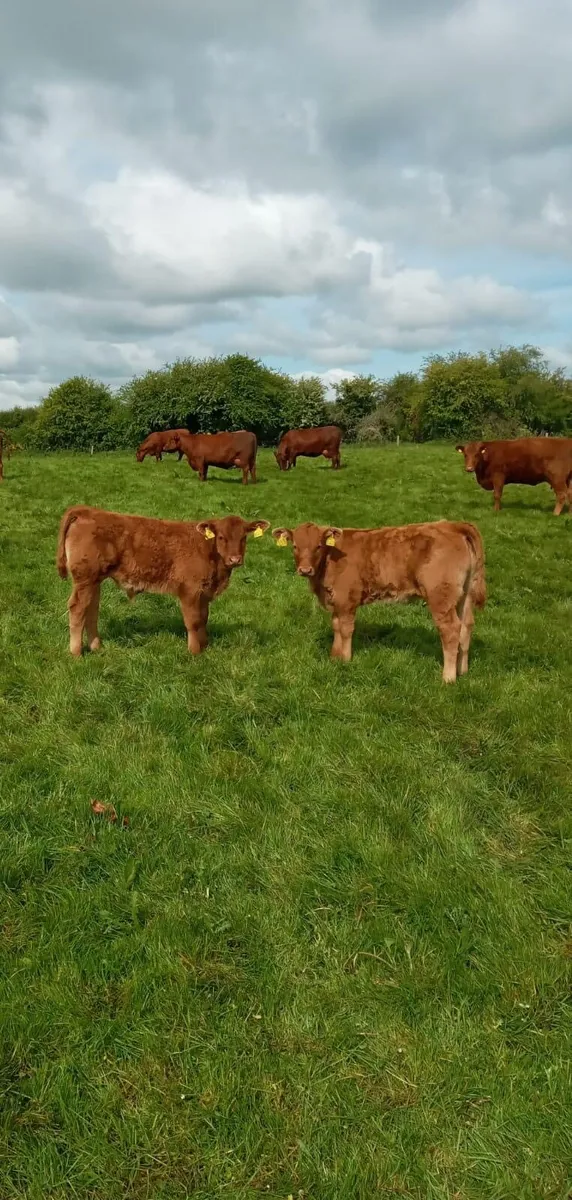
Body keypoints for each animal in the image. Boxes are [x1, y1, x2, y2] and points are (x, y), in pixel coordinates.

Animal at [57, 506, 269, 657]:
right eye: (222, 537)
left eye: (244, 537)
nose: (235, 559)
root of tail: (87, 511)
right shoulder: (190, 591)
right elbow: (193, 621)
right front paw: (195, 652)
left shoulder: (204, 593)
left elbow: (203, 619)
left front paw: (205, 646)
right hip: (85, 579)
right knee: (77, 608)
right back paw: (76, 652)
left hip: (94, 580)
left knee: (91, 610)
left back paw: (97, 647)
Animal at [272, 520, 486, 683]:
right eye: (295, 546)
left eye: (318, 546)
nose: (305, 570)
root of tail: (452, 525)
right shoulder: (337, 601)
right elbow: (336, 626)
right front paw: (334, 657)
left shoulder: (347, 598)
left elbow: (345, 629)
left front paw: (345, 659)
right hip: (465, 594)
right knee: (466, 626)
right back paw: (462, 671)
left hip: (440, 596)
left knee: (450, 630)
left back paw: (448, 678)